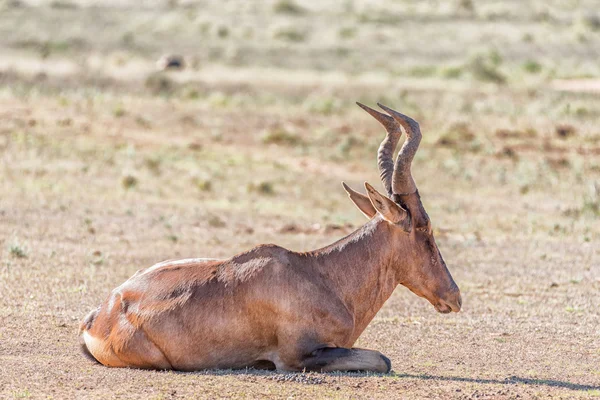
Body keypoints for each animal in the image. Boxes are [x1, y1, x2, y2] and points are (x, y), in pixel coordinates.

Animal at [79, 102, 462, 372]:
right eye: (425, 229)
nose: (455, 297)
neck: (321, 274)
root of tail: (100, 314)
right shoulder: (296, 357)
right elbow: (383, 359)